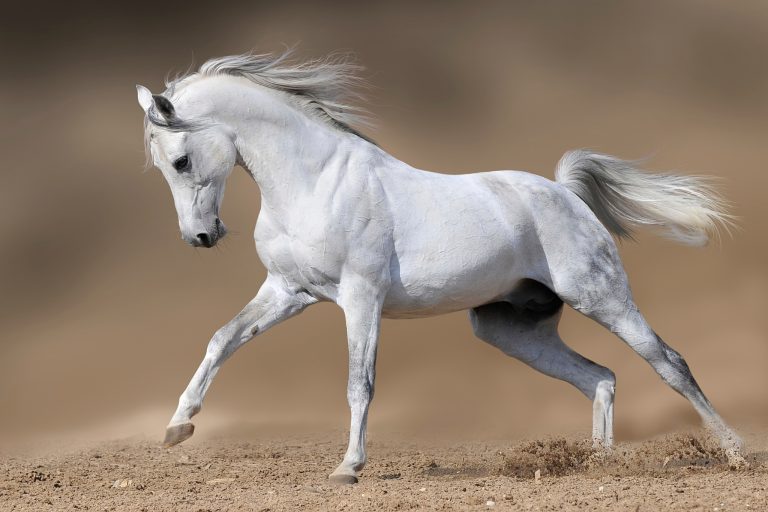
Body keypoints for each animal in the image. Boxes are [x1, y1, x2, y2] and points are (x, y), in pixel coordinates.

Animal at [136, 50, 744, 483]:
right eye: (162, 167)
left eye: (180, 160)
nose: (200, 237)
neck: (315, 181)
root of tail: (566, 194)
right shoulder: (288, 291)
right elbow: (222, 339)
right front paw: (177, 427)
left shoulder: (360, 298)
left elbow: (359, 382)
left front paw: (348, 468)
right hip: (509, 329)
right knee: (600, 377)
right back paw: (598, 465)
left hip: (603, 297)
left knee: (669, 363)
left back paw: (734, 453)